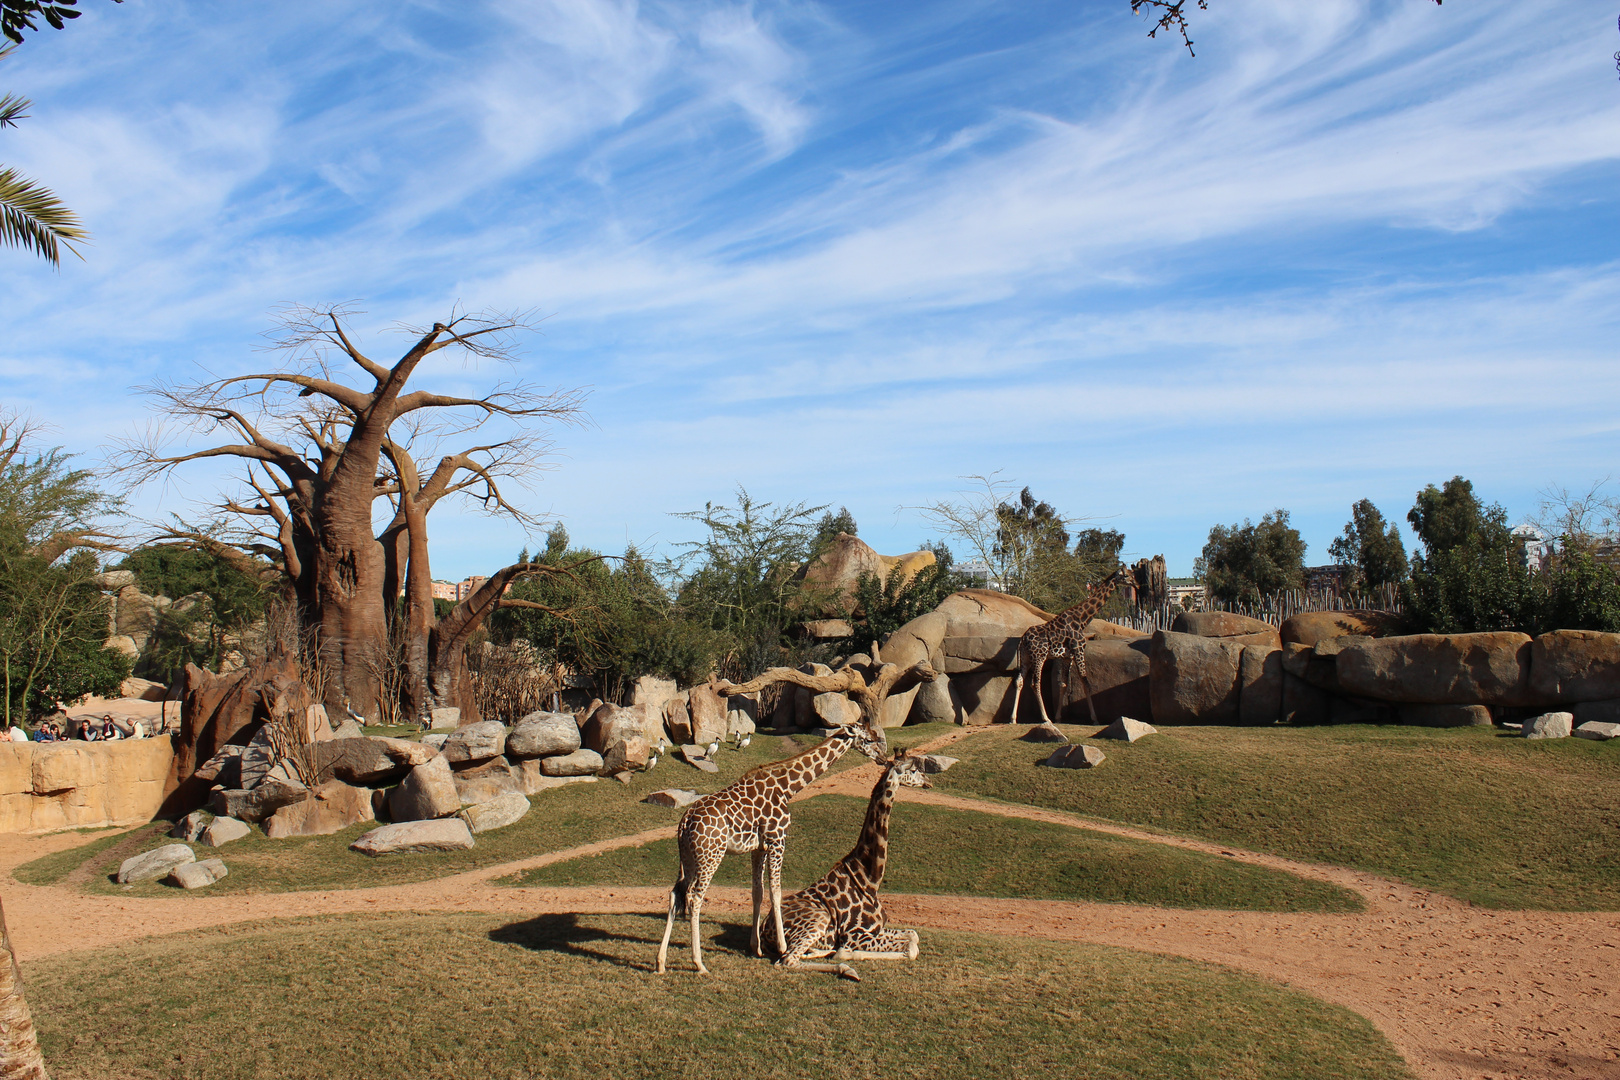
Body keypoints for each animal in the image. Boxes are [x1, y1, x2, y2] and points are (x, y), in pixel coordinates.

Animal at [654, 722, 894, 977]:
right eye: (867, 739)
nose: (882, 757)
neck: (787, 786)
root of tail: (685, 821)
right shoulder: (777, 839)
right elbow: (776, 891)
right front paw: (781, 946)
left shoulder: (758, 847)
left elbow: (757, 892)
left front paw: (756, 947)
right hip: (711, 855)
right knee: (695, 897)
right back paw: (699, 963)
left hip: (688, 858)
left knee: (675, 895)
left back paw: (660, 962)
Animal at [777, 748, 933, 984]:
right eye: (913, 769)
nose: (928, 782)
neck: (869, 878)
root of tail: (765, 929)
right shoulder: (855, 934)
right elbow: (911, 947)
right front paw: (847, 955)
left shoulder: (876, 929)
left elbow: (913, 935)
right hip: (819, 918)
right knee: (787, 960)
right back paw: (846, 969)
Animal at [1010, 566, 1127, 725]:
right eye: (1126, 575)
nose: (1135, 582)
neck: (1082, 619)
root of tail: (1022, 639)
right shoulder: (1079, 650)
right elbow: (1086, 683)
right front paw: (1095, 719)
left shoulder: (1067, 657)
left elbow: (1063, 685)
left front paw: (1059, 717)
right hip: (1039, 657)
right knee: (1035, 683)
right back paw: (1045, 718)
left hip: (1026, 658)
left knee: (1019, 681)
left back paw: (1013, 718)